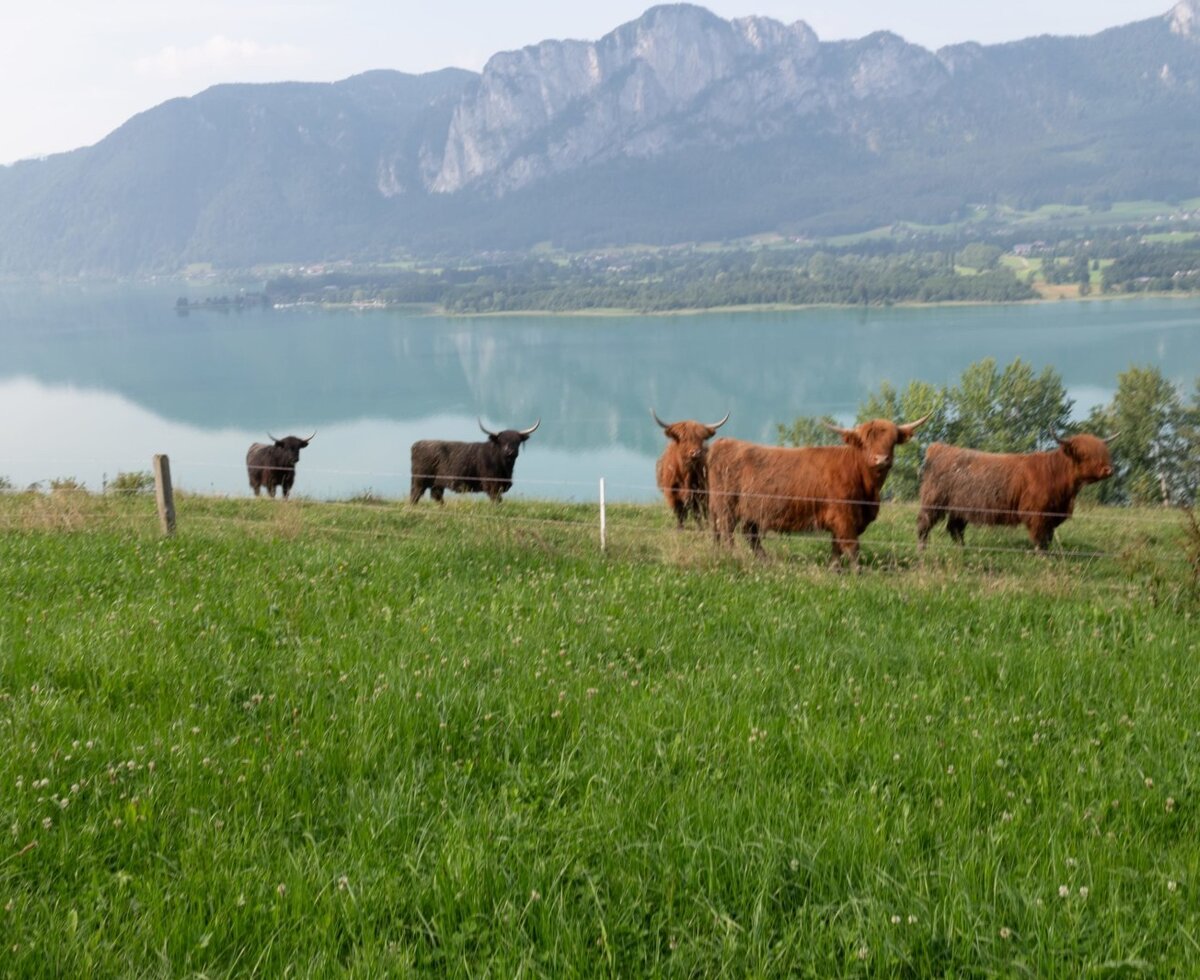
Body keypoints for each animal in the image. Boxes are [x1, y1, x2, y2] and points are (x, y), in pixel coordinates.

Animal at [410, 419, 540, 504]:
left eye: (517, 441)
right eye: (502, 441)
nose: (510, 452)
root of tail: (416, 444)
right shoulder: (492, 485)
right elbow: (497, 501)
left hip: (437, 483)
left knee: (436, 496)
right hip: (420, 480)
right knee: (415, 495)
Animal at [707, 415, 930, 564]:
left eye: (892, 442)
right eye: (866, 443)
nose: (881, 459)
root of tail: (724, 443)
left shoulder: (842, 521)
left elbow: (837, 547)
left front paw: (835, 569)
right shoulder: (843, 517)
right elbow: (852, 547)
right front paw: (858, 574)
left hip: (752, 511)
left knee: (750, 535)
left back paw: (765, 561)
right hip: (726, 507)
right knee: (728, 533)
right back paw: (734, 556)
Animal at [916, 431, 1116, 551]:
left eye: (1104, 452)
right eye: (1084, 454)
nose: (1108, 470)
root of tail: (938, 448)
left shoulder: (1052, 514)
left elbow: (1048, 537)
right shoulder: (1037, 513)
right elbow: (1040, 537)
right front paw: (1042, 556)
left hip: (960, 507)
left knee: (955, 528)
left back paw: (963, 549)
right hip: (933, 502)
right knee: (924, 524)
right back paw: (922, 548)